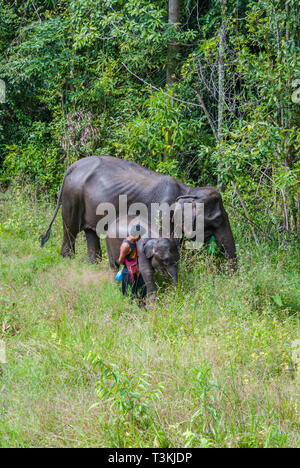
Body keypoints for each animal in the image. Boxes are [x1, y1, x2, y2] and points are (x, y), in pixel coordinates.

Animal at [40, 156, 237, 268]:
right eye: (217, 219)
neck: (187, 190)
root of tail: (72, 167)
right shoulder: (160, 213)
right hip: (72, 197)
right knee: (70, 230)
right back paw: (67, 261)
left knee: (90, 232)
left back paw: (92, 265)